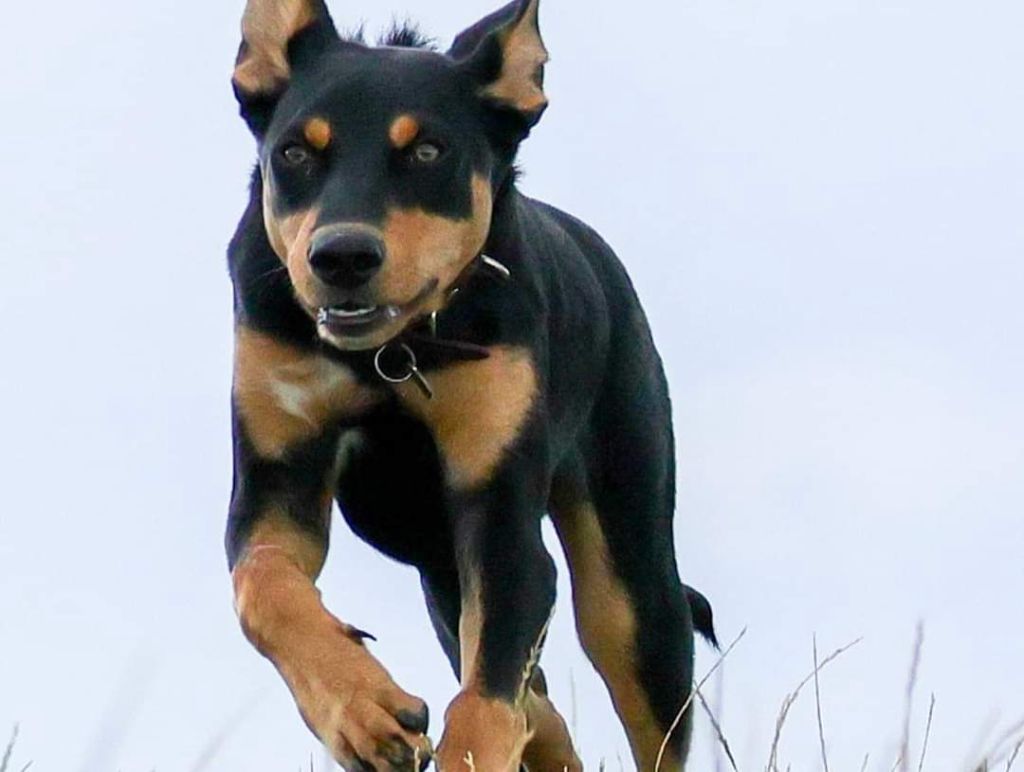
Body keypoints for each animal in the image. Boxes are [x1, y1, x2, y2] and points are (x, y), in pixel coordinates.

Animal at [225, 1, 716, 769]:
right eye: (295, 153)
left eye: (429, 152)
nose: (342, 256)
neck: (392, 353)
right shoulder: (277, 469)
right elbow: (264, 585)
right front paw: (364, 712)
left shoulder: (498, 508)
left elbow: (487, 698)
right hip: (440, 572)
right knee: (531, 696)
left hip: (632, 578)